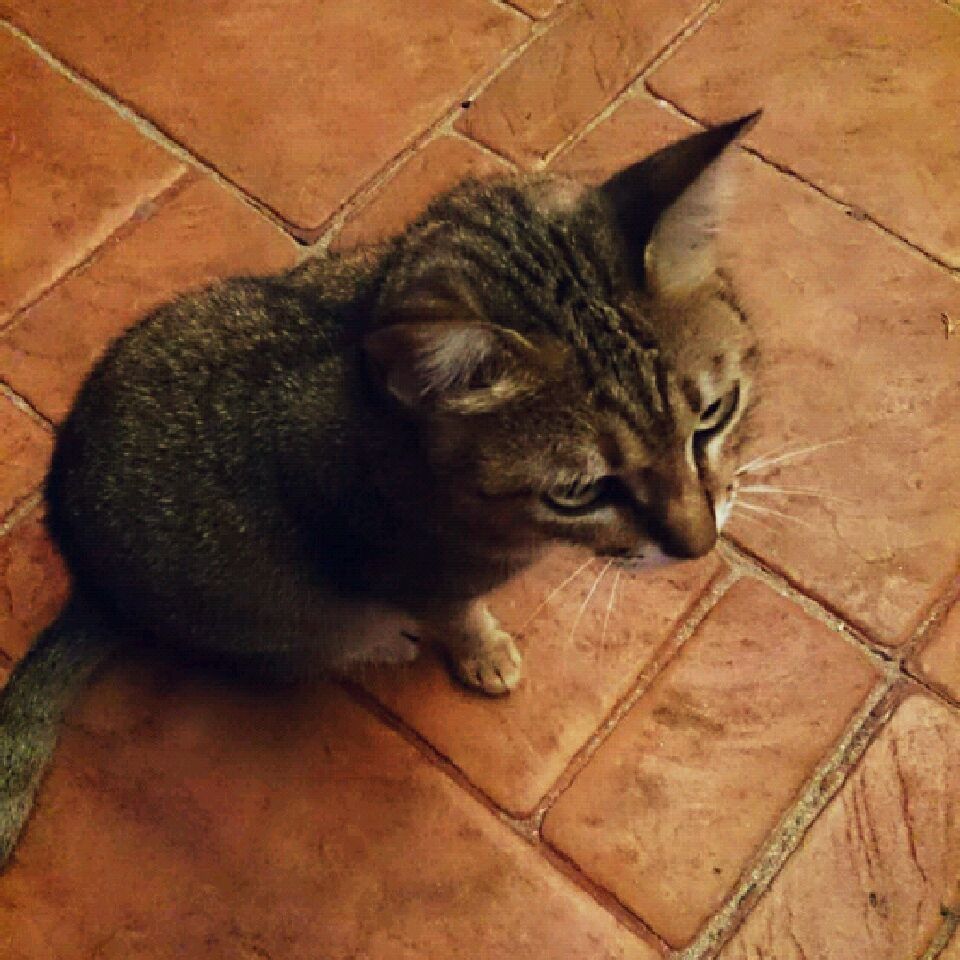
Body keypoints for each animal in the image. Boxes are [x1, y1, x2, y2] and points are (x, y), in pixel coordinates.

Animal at [0, 111, 760, 866]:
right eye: (579, 492)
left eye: (714, 416)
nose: (699, 548)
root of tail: (87, 579)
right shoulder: (407, 572)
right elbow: (455, 610)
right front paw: (482, 649)